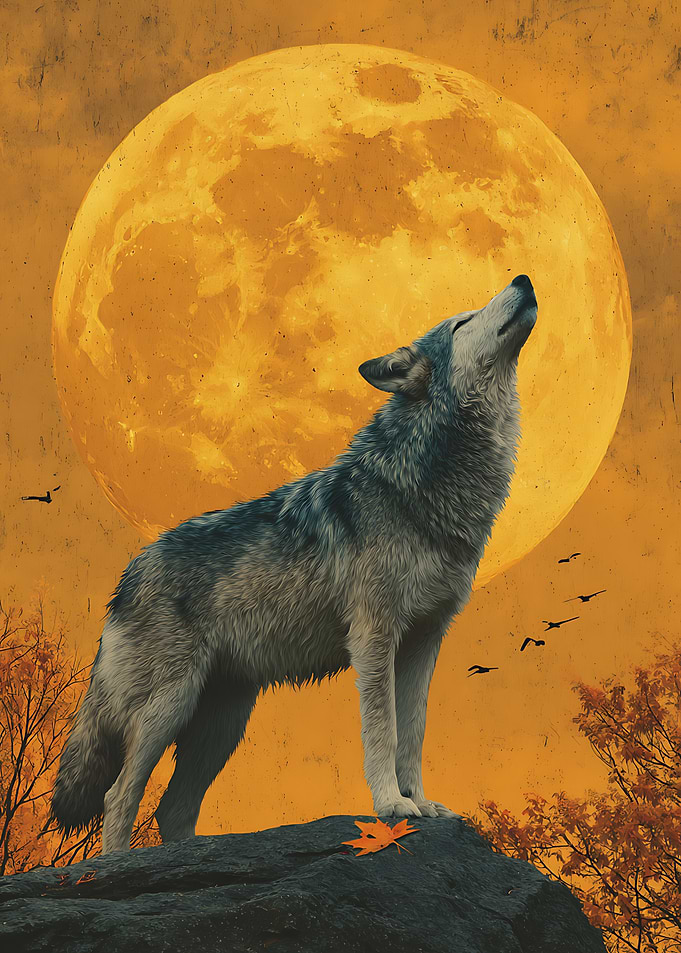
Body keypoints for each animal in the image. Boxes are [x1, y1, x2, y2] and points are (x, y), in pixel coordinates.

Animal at [51, 273, 538, 854]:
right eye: (464, 321)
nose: (523, 279)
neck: (420, 485)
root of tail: (129, 572)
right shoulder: (374, 636)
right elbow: (383, 730)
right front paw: (392, 805)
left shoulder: (425, 641)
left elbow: (414, 732)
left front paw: (422, 804)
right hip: (170, 705)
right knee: (118, 795)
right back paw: (116, 864)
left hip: (223, 724)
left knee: (172, 808)